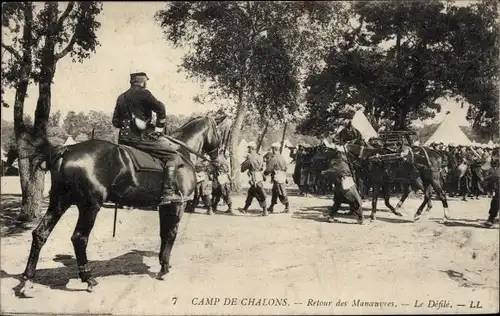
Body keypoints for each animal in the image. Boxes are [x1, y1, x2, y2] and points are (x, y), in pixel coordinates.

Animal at [16, 115, 226, 294]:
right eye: (220, 133)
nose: (220, 162)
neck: (181, 153)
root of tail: (66, 150)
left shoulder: (164, 206)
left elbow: (163, 234)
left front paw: (162, 262)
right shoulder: (177, 205)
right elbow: (171, 234)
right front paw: (164, 268)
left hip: (59, 202)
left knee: (40, 234)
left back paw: (28, 280)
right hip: (89, 206)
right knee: (79, 238)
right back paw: (88, 278)